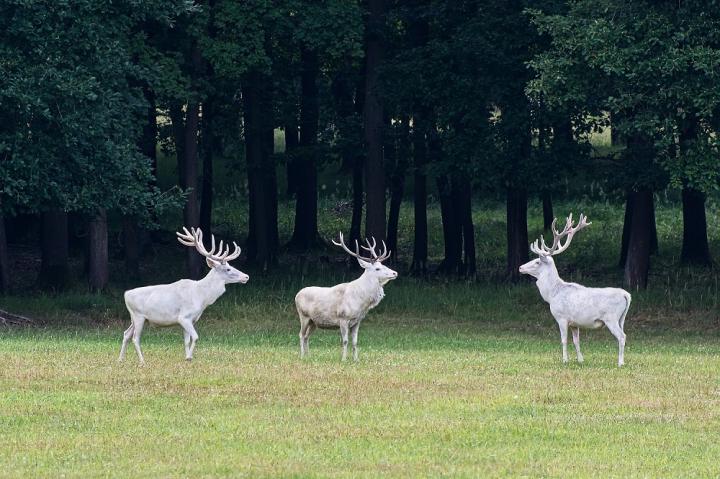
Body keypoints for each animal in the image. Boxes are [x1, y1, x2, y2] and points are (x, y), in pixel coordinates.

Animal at [119, 229, 249, 364]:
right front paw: (189, 357)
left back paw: (121, 359)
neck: (202, 297)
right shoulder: (184, 317)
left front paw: (187, 358)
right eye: (228, 269)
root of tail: (126, 294)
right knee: (135, 338)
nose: (246, 276)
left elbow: (187, 340)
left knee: (126, 334)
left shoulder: (190, 319)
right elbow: (195, 337)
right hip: (138, 316)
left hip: (135, 318)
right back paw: (142, 361)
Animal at [296, 234, 402, 362]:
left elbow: (355, 342)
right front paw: (344, 359)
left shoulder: (357, 321)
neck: (361, 302)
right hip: (304, 316)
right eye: (377, 268)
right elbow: (345, 341)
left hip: (314, 321)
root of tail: (297, 295)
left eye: (383, 265)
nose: (395, 273)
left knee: (307, 336)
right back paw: (302, 356)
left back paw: (309, 356)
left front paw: (356, 360)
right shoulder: (343, 318)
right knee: (301, 335)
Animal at [516, 214, 632, 368]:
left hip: (611, 317)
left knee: (622, 336)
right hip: (621, 318)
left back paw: (620, 362)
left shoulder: (562, 317)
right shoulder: (575, 324)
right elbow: (577, 341)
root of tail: (627, 295)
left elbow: (564, 340)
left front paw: (565, 360)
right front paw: (580, 360)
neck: (552, 295)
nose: (520, 267)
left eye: (537, 261)